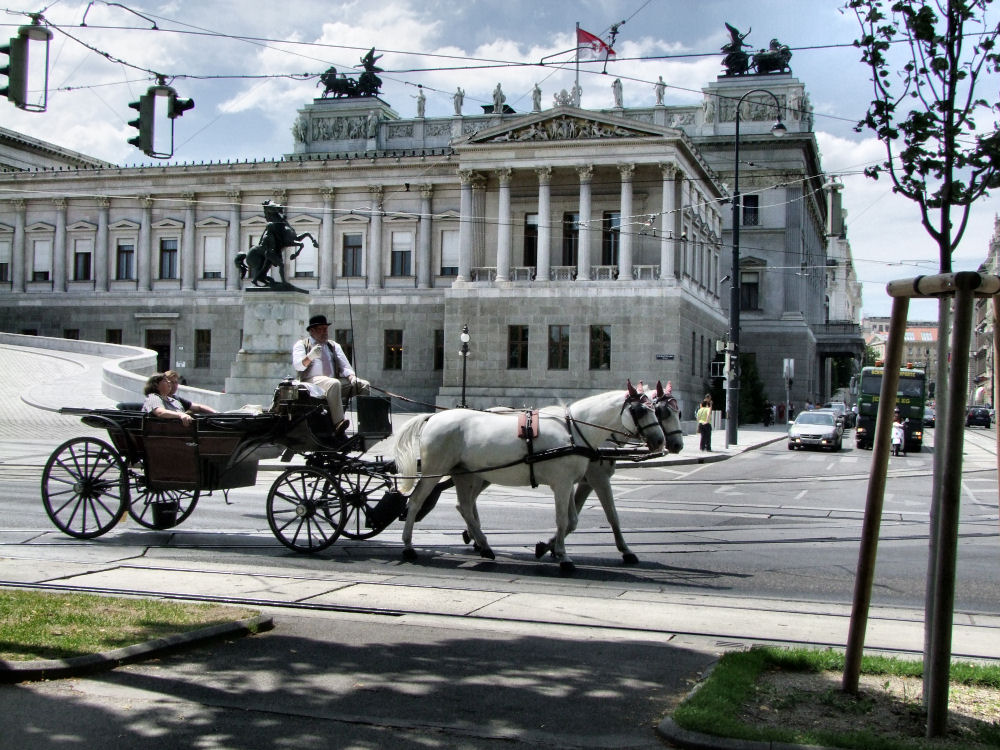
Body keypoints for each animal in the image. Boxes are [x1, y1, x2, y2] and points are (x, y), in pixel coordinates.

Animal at [394, 384, 668, 572]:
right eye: (639, 410)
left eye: (656, 410)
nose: (660, 441)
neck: (573, 430)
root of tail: (433, 417)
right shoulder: (562, 484)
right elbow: (562, 520)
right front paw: (564, 557)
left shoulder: (569, 483)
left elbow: (572, 520)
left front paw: (551, 548)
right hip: (436, 469)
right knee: (416, 502)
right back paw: (408, 546)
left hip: (464, 474)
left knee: (465, 507)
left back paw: (484, 546)